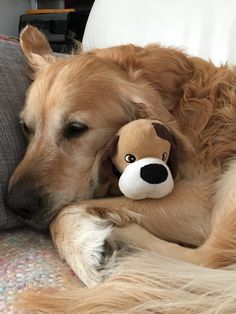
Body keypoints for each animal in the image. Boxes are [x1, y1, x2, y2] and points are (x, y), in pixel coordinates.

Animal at [7, 25, 236, 312]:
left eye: (76, 129)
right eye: (27, 127)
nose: (17, 205)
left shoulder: (199, 201)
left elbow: (63, 213)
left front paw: (84, 247)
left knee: (208, 258)